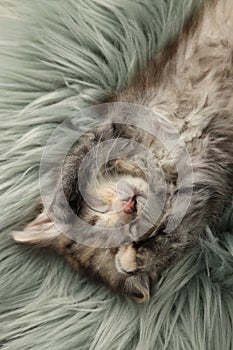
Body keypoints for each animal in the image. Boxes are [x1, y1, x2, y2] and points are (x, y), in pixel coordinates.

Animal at [13, 0, 233, 300]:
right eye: (126, 233)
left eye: (95, 215)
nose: (130, 204)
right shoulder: (203, 193)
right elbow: (177, 237)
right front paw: (135, 259)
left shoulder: (111, 122)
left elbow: (71, 166)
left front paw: (58, 206)